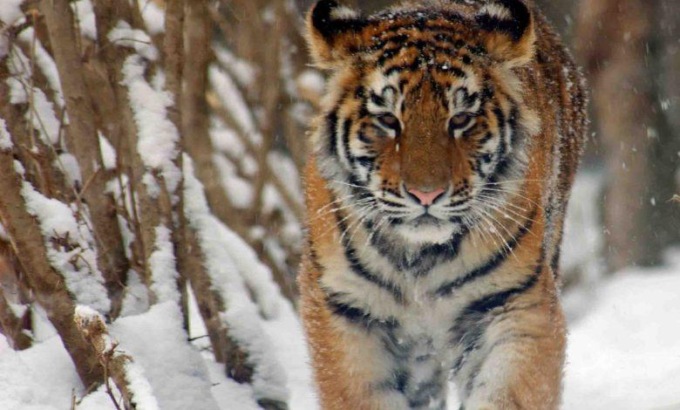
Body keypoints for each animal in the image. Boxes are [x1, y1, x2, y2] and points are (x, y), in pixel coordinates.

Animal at [298, 0, 587, 409]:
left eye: (461, 119)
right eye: (388, 119)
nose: (426, 195)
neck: (420, 258)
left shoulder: (514, 302)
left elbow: (506, 391)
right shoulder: (347, 310)